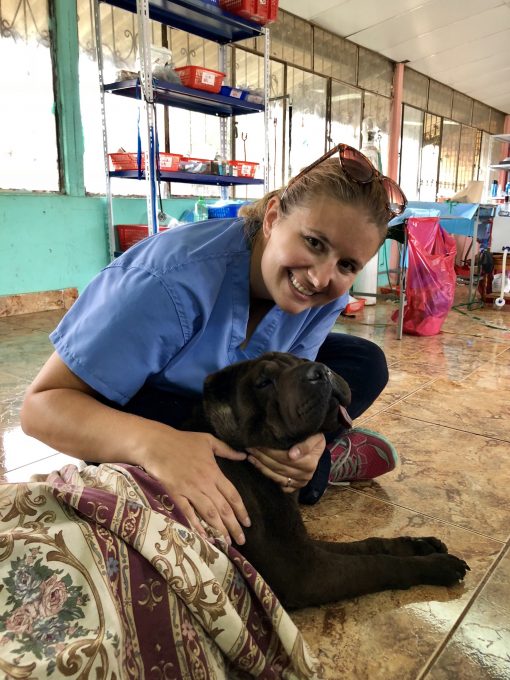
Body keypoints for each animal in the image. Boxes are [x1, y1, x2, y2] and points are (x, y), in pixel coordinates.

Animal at [188, 354, 470, 608]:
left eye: (302, 359)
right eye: (264, 382)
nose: (320, 370)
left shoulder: (303, 544)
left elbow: (365, 545)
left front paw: (418, 545)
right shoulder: (303, 571)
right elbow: (374, 564)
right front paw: (436, 565)